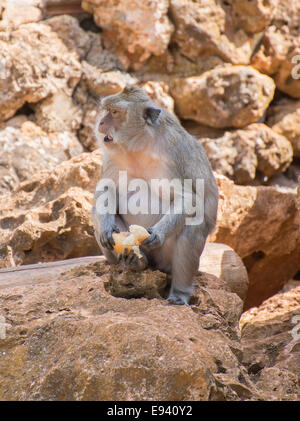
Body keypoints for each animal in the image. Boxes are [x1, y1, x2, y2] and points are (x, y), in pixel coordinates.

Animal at [91, 85, 218, 304]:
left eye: (115, 112)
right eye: (106, 110)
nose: (101, 122)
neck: (139, 146)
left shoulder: (171, 156)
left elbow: (189, 199)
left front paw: (158, 233)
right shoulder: (113, 156)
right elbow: (106, 188)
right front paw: (107, 228)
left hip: (166, 258)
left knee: (193, 227)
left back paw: (179, 293)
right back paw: (136, 260)